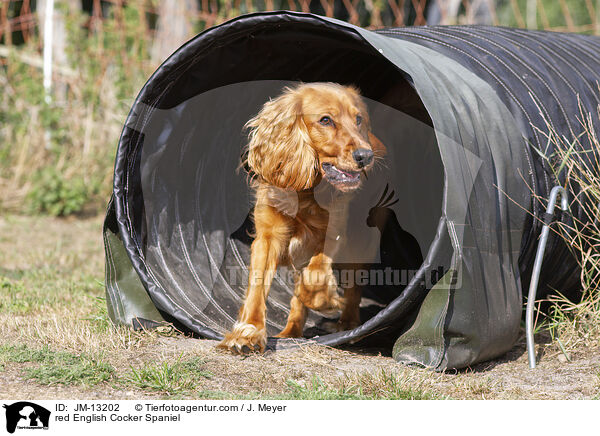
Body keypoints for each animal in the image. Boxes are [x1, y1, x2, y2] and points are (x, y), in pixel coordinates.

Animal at [219, 82, 384, 354]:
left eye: (358, 119)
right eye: (326, 120)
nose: (366, 156)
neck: (305, 193)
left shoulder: (334, 233)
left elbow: (314, 277)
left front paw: (326, 301)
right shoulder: (267, 237)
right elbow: (257, 287)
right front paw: (248, 332)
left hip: (361, 243)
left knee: (353, 287)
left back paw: (346, 324)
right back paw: (290, 332)